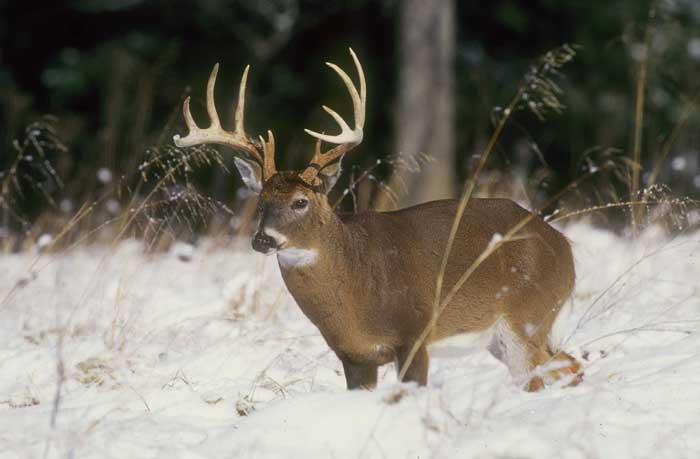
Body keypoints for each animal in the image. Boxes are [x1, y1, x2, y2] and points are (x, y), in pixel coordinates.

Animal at [172, 49, 584, 392]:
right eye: (261, 202)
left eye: (301, 202)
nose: (263, 240)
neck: (356, 290)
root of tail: (564, 246)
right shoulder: (354, 356)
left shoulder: (415, 334)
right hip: (512, 335)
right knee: (571, 364)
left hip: (526, 318)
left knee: (542, 377)